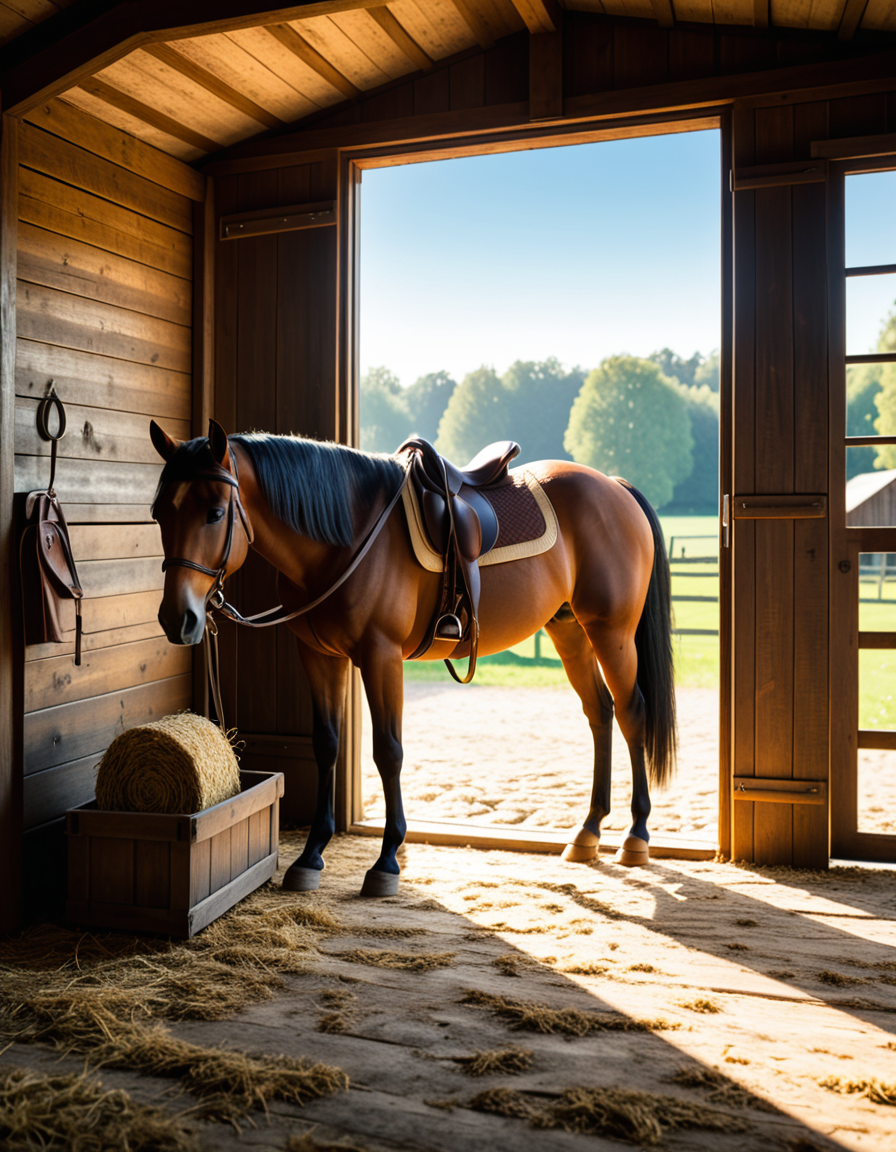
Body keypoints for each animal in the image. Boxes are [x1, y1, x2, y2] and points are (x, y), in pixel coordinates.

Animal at [149, 418, 676, 897]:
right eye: (158, 513)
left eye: (216, 512)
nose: (178, 618)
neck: (347, 537)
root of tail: (614, 486)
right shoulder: (319, 656)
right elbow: (327, 745)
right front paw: (311, 855)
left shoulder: (380, 657)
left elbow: (389, 751)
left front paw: (386, 861)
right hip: (569, 630)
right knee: (600, 713)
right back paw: (588, 832)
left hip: (611, 632)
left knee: (631, 713)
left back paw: (635, 836)